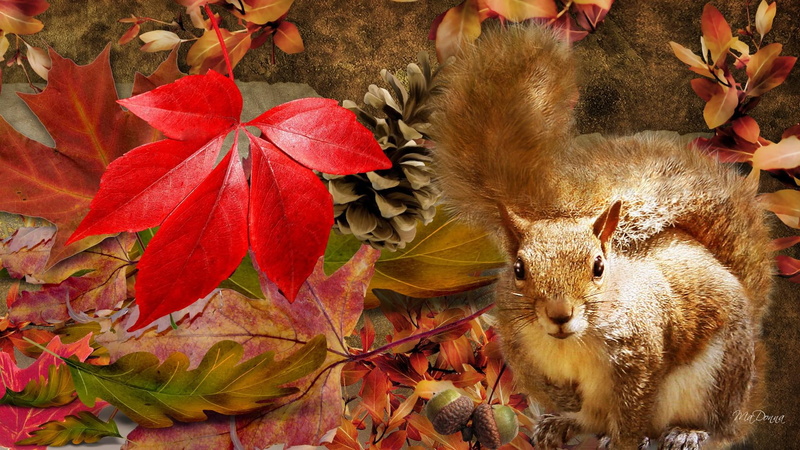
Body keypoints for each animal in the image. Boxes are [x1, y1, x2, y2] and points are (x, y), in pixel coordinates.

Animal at [429, 26, 774, 449]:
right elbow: (531, 374)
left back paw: (686, 432)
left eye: (598, 267)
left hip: (715, 380)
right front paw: (562, 399)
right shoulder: (513, 334)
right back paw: (561, 423)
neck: (570, 342)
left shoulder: (640, 351)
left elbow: (632, 409)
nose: (560, 314)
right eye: (519, 269)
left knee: (714, 428)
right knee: (591, 419)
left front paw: (626, 441)